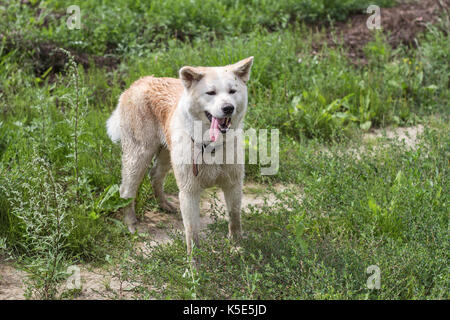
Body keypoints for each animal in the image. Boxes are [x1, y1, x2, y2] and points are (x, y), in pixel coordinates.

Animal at [105, 56, 253, 254]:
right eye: (211, 92)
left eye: (232, 91)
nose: (228, 108)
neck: (210, 147)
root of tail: (138, 83)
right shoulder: (189, 192)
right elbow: (192, 234)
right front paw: (193, 263)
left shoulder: (233, 185)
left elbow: (235, 220)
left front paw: (237, 248)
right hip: (138, 157)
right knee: (126, 191)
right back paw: (131, 225)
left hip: (165, 155)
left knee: (155, 176)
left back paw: (165, 205)